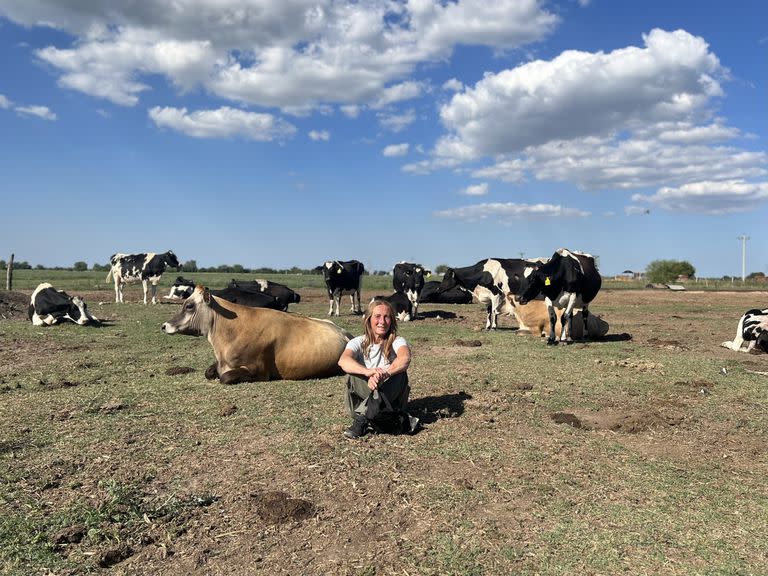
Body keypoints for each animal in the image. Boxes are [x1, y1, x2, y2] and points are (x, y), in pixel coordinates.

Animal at [163, 284, 354, 382]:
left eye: (189, 306)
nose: (164, 325)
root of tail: (344, 332)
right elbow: (209, 372)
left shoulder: (259, 370)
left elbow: (225, 377)